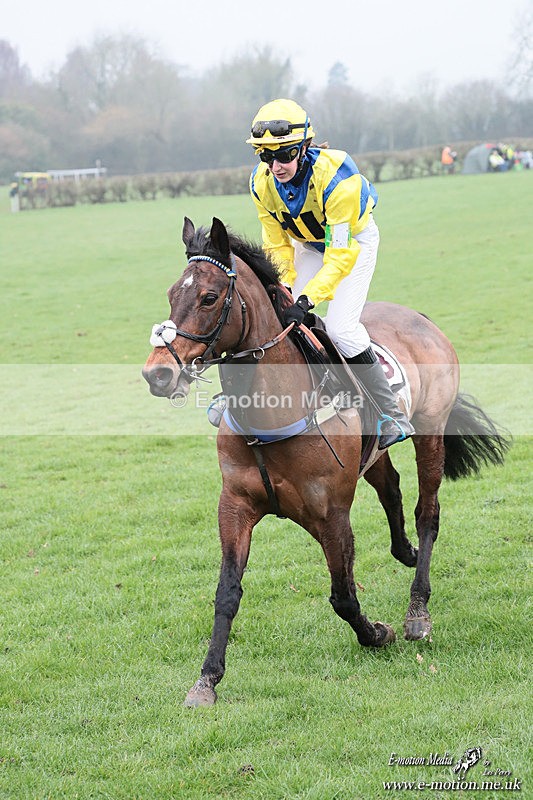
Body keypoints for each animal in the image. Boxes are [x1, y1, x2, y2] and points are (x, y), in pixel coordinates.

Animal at [142, 216, 509, 707]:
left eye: (208, 297)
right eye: (170, 294)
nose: (157, 373)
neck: (272, 414)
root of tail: (420, 318)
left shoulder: (331, 513)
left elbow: (342, 595)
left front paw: (377, 633)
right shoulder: (235, 506)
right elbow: (227, 593)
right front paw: (207, 680)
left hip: (431, 431)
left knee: (427, 512)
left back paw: (417, 611)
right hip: (373, 453)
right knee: (391, 487)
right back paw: (405, 552)